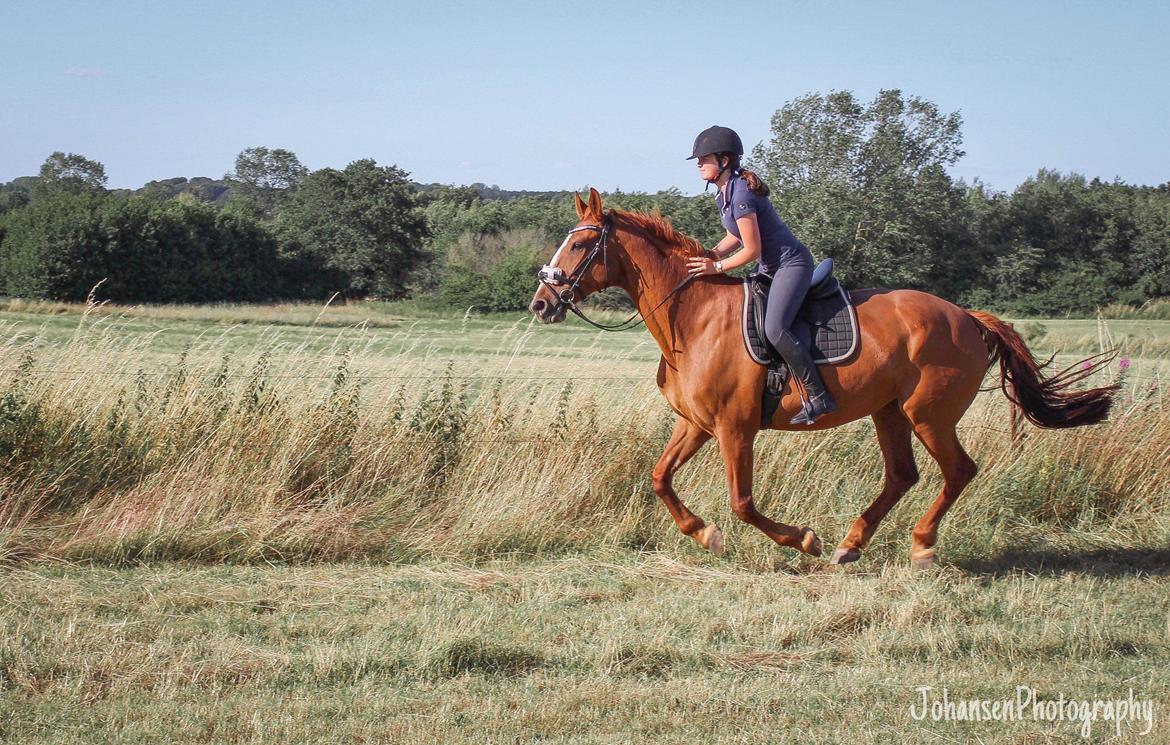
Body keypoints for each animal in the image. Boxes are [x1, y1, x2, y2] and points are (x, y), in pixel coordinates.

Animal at [528, 188, 1113, 566]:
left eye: (578, 245)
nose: (540, 303)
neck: (691, 318)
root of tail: (968, 317)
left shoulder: (735, 429)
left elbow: (742, 503)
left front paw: (801, 540)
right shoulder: (695, 424)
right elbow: (660, 479)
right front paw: (703, 534)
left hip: (929, 414)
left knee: (958, 471)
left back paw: (921, 545)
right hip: (889, 412)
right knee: (902, 475)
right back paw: (851, 544)